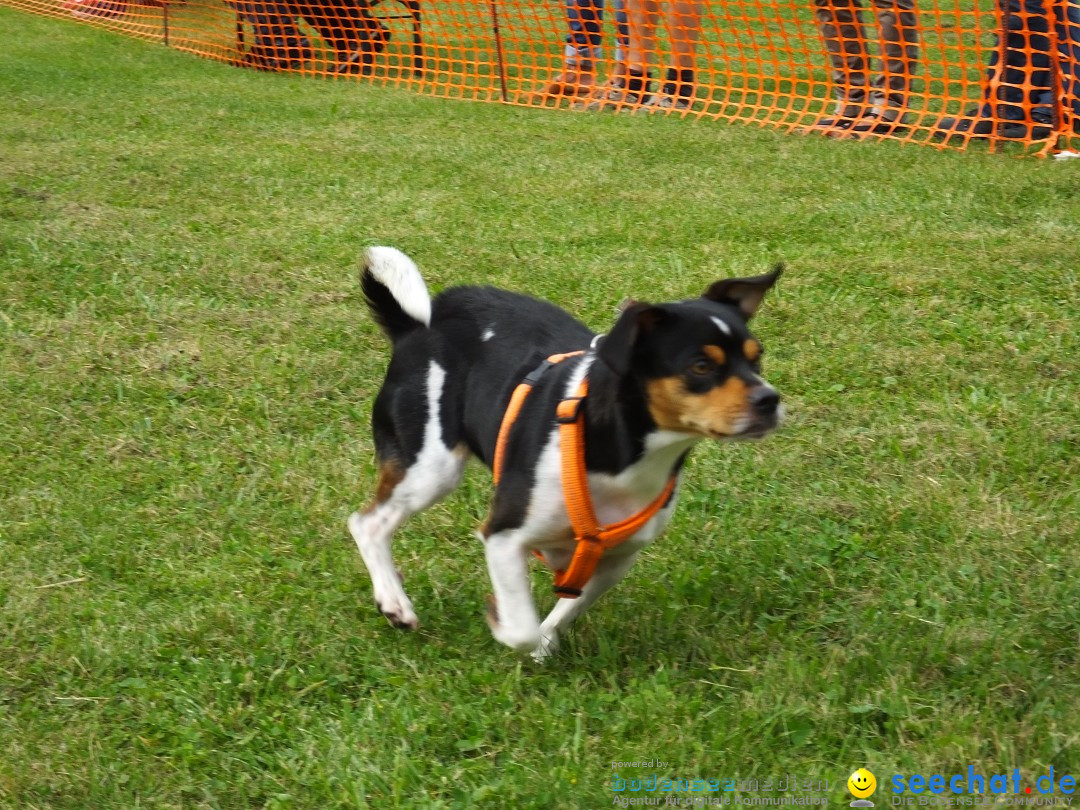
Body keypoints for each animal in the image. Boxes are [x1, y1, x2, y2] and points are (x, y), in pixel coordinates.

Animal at [349, 247, 781, 660]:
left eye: (756, 357)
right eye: (701, 366)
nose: (770, 399)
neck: (624, 460)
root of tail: (414, 327)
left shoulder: (615, 560)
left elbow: (559, 615)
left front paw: (544, 647)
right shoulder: (504, 537)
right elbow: (521, 626)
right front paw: (503, 624)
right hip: (431, 468)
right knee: (368, 523)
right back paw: (394, 601)